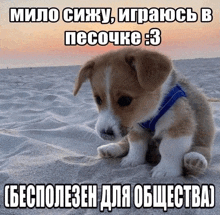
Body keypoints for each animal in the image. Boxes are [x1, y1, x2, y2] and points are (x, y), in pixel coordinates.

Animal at [73, 47, 215, 177]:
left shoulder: (178, 125)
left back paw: (195, 160)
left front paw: (165, 170)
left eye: (125, 100)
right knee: (125, 143)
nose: (105, 133)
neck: (150, 113)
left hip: (203, 139)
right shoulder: (135, 127)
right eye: (98, 99)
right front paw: (133, 160)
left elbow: (169, 149)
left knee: (202, 152)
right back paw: (111, 148)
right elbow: (136, 145)